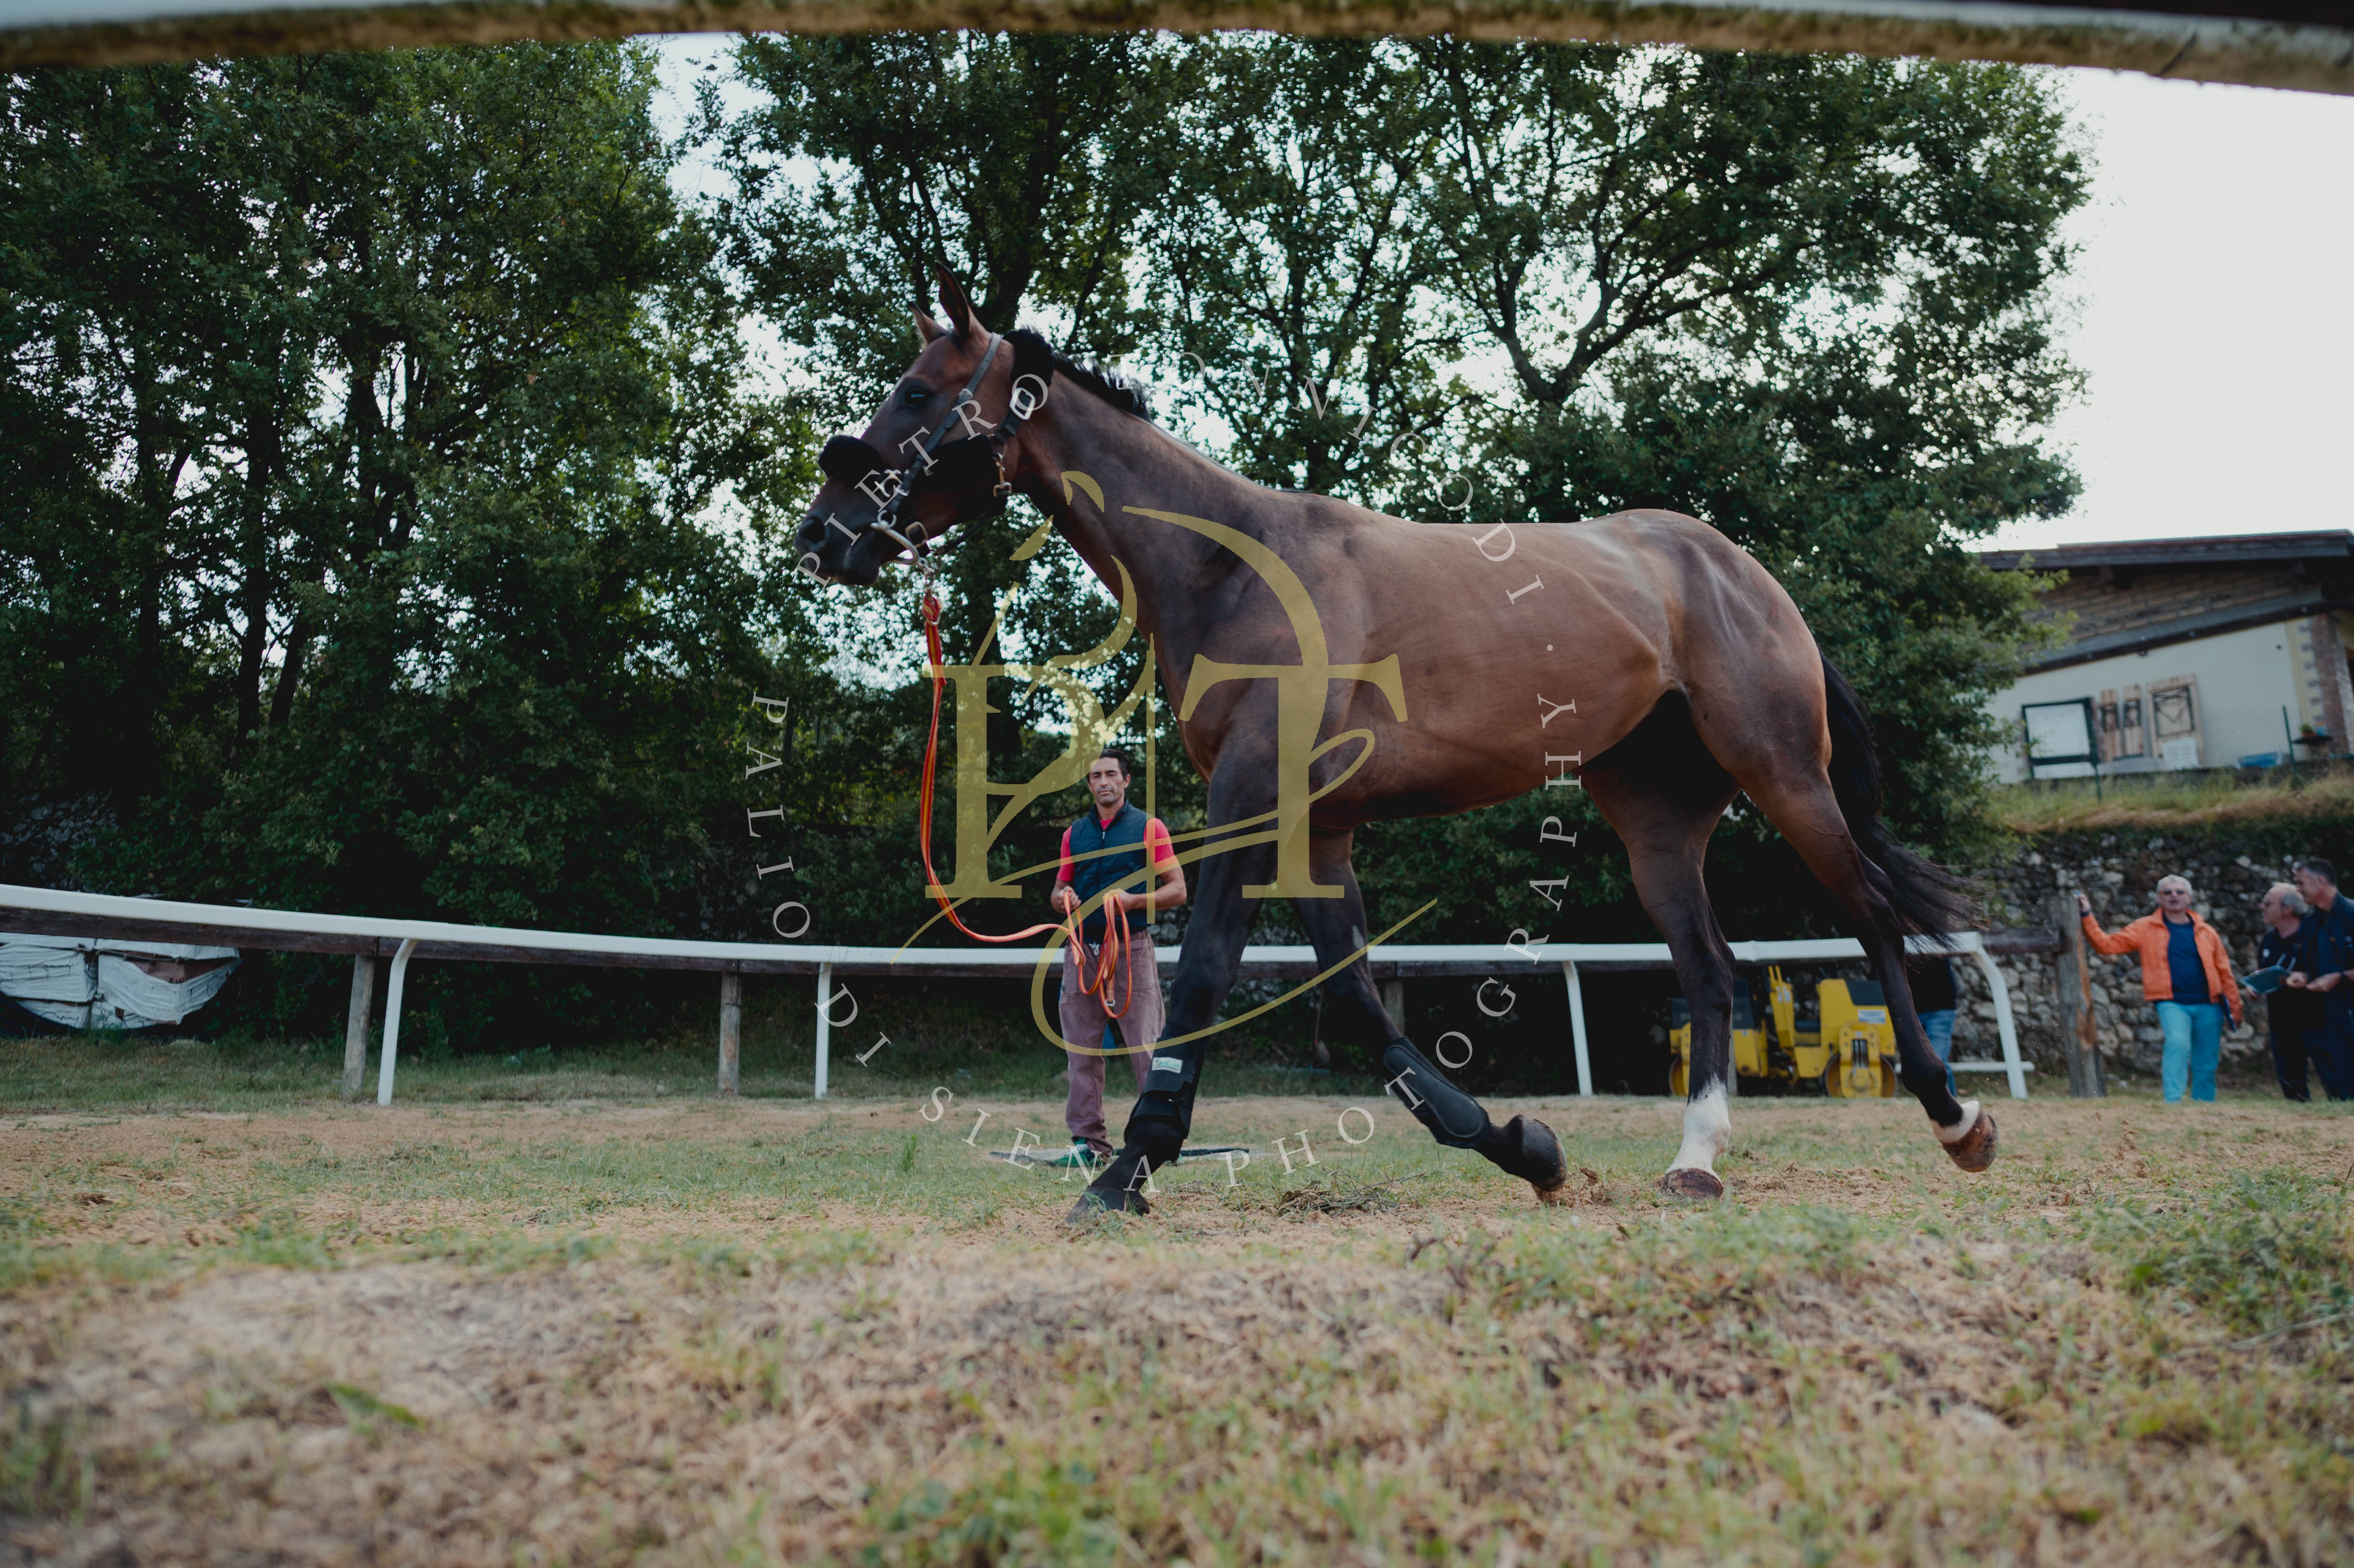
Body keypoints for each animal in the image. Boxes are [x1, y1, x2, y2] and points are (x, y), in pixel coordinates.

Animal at [795, 272, 1999, 1221]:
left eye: (915, 393)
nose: (819, 534)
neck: (1233, 567)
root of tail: (1731, 564)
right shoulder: (1315, 828)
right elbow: (1356, 1003)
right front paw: (1522, 1146)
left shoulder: (1252, 802)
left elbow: (1204, 980)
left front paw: (1125, 1169)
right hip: (1655, 819)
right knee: (1707, 969)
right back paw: (1694, 1160)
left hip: (1783, 775)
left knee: (1868, 917)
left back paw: (1954, 1117)